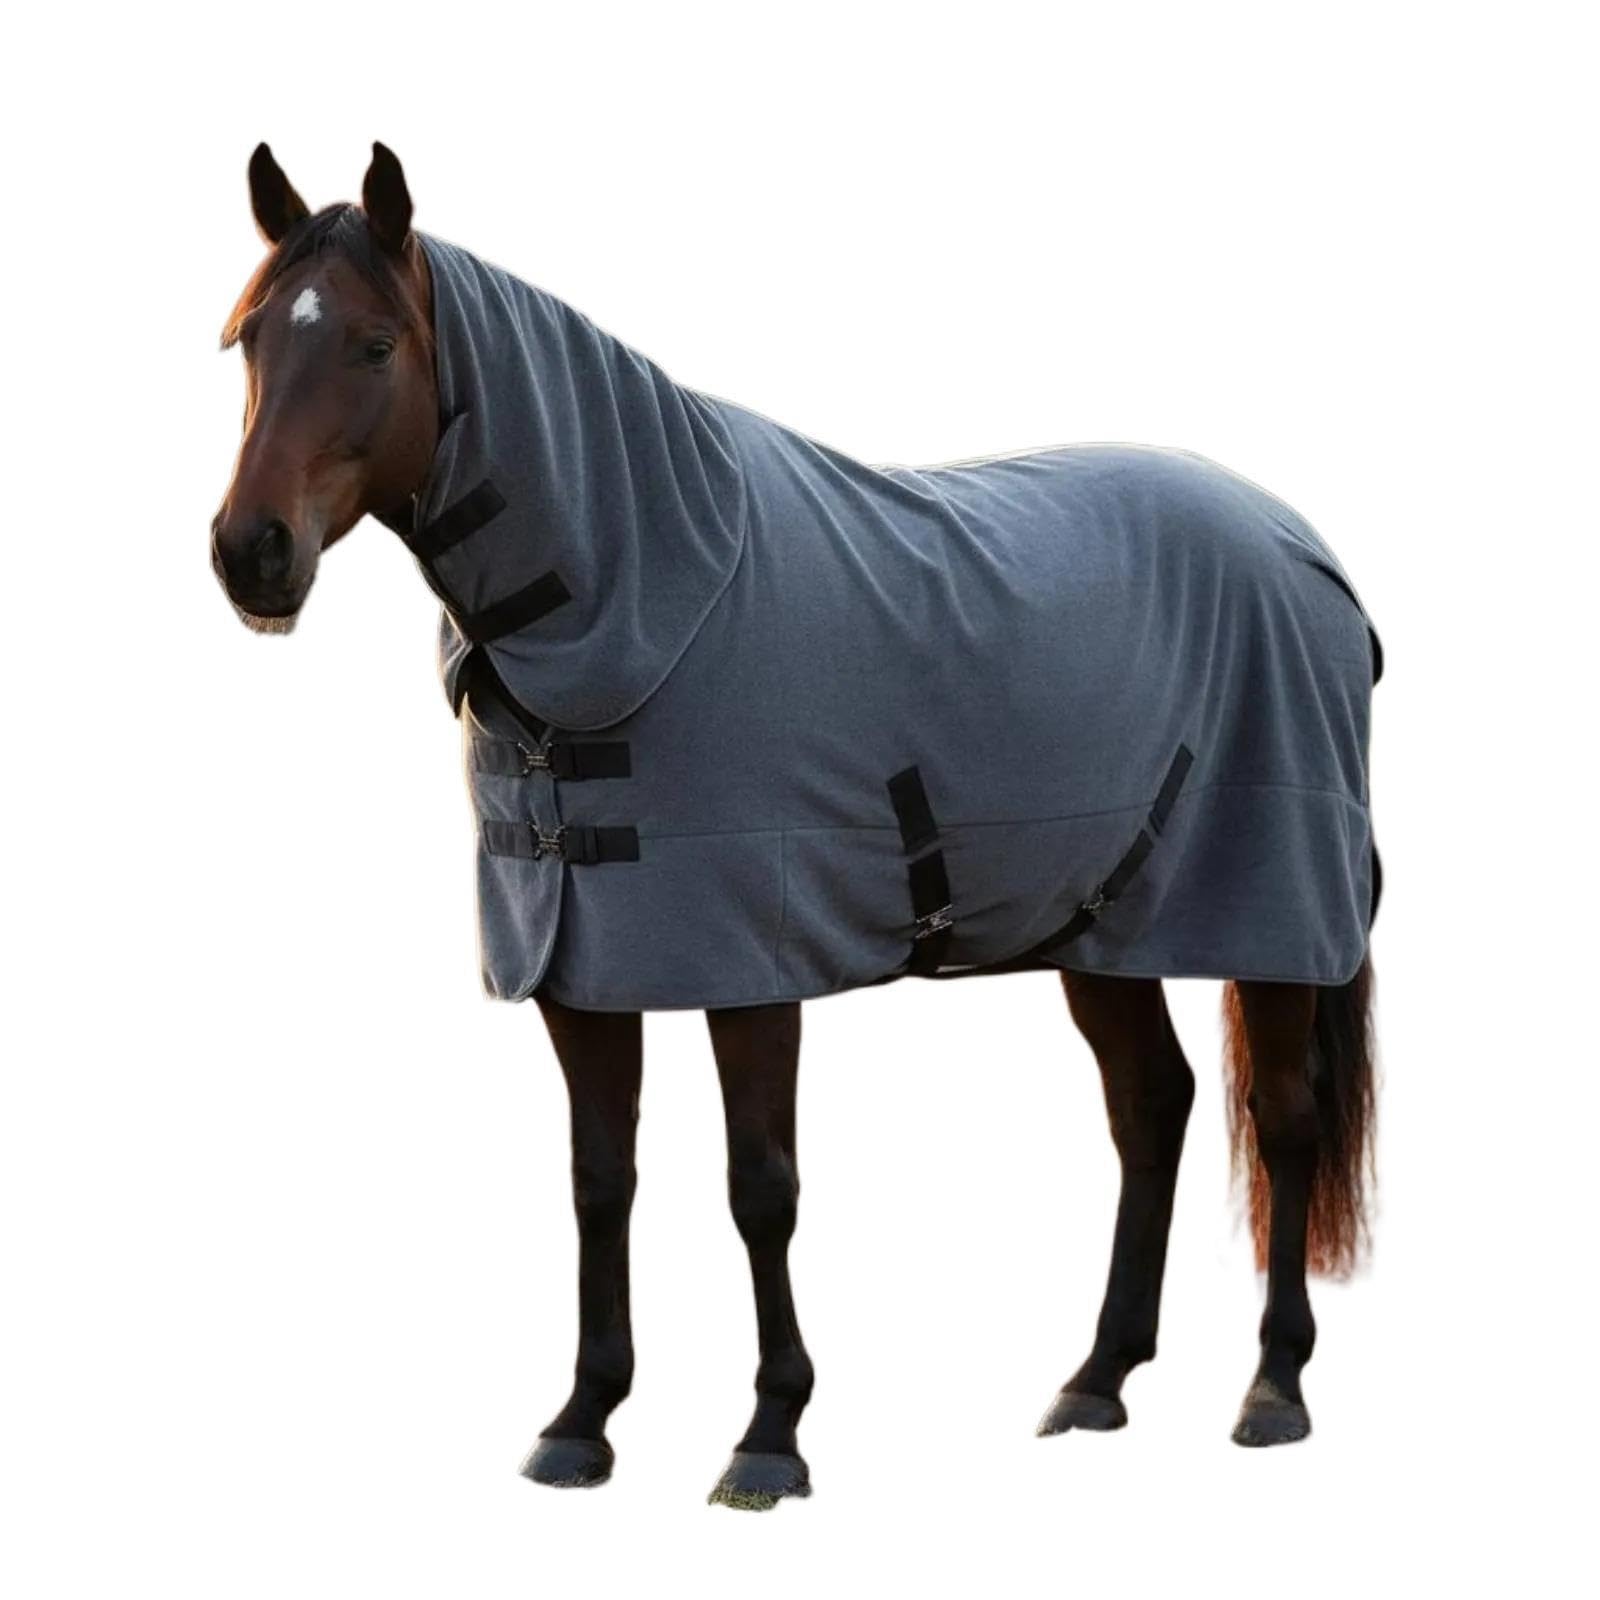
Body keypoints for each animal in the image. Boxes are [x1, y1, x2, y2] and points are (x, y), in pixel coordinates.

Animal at [212, 142, 1380, 1509]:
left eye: (375, 344)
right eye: (247, 338)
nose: (251, 554)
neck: (644, 591)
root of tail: (1303, 549)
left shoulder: (752, 966)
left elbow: (760, 1188)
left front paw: (769, 1433)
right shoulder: (582, 967)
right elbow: (600, 1181)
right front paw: (583, 1418)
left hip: (1273, 918)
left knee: (1286, 1119)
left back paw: (1273, 1386)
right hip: (1105, 924)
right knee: (1152, 1105)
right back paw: (1097, 1379)